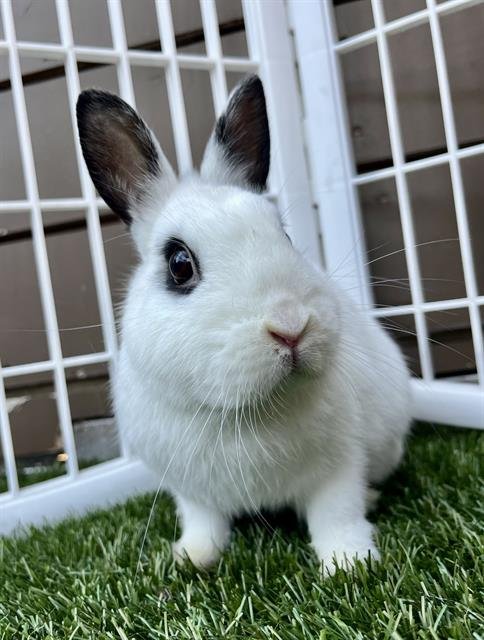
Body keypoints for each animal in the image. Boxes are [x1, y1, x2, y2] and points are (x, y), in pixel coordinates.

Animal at [76, 75, 411, 574]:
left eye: (286, 236)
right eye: (179, 265)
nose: (291, 326)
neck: (245, 413)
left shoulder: (340, 467)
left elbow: (337, 515)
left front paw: (351, 565)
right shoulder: (190, 490)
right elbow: (204, 522)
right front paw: (191, 558)